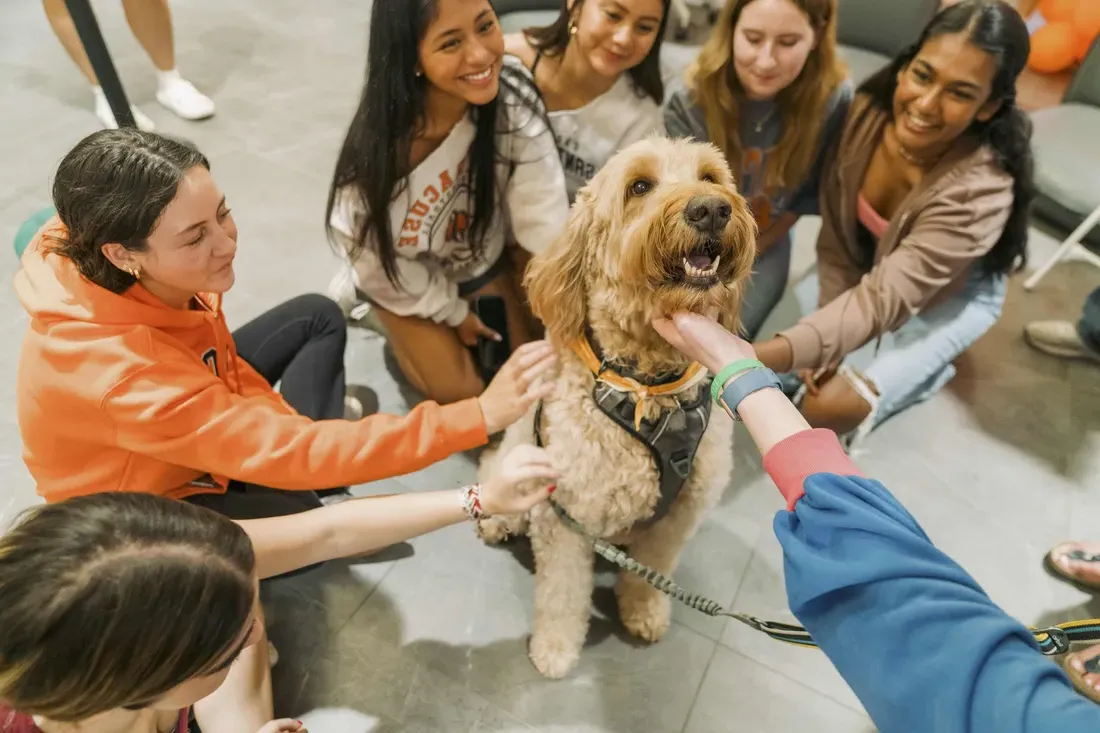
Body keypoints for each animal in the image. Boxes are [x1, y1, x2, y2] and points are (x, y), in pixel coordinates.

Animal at [477, 135, 761, 673]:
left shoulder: (679, 516)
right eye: (640, 186)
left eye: (711, 177)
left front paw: (644, 610)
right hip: (522, 457)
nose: (711, 209)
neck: (646, 390)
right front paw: (556, 649)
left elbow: (653, 569)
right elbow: (563, 592)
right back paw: (497, 518)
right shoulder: (567, 515)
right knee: (494, 471)